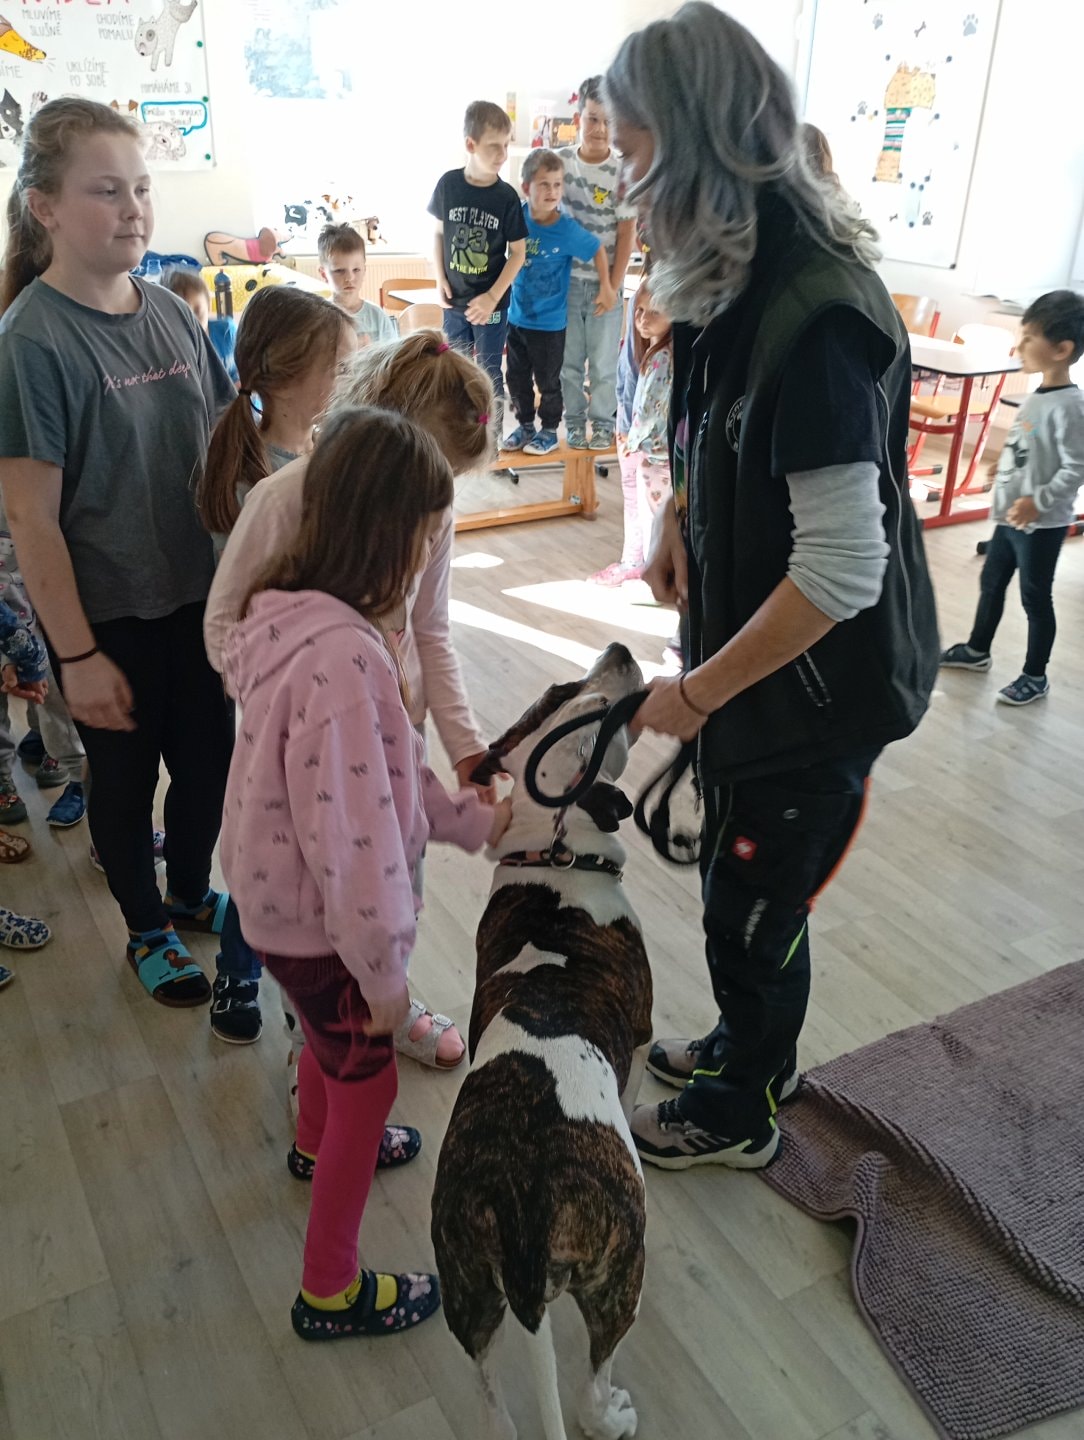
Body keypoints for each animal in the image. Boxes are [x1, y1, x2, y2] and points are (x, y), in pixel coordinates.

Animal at [432, 644, 652, 1440]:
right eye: (591, 703)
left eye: (560, 690)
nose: (621, 650)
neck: (557, 853)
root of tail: (522, 1211)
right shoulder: (641, 1036)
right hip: (619, 1269)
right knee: (591, 1380)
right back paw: (612, 1412)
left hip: (465, 1283)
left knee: (492, 1400)